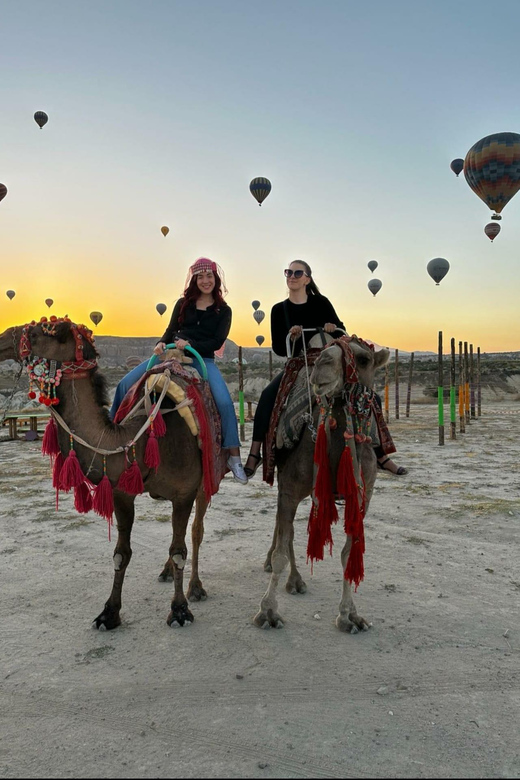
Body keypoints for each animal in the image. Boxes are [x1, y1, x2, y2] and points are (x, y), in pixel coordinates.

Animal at [0, 320, 223, 632]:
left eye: (38, 331)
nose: (2, 337)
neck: (146, 438)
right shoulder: (122, 494)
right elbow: (121, 553)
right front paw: (109, 613)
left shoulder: (184, 492)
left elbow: (180, 549)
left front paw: (179, 610)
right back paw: (166, 572)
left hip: (206, 481)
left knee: (195, 531)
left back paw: (196, 587)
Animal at [254, 336, 388, 632]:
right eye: (326, 351)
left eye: (363, 359)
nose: (321, 366)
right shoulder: (290, 490)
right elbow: (283, 549)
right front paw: (268, 612)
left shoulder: (363, 498)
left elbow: (349, 555)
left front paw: (349, 616)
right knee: (284, 530)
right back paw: (290, 577)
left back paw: (292, 579)